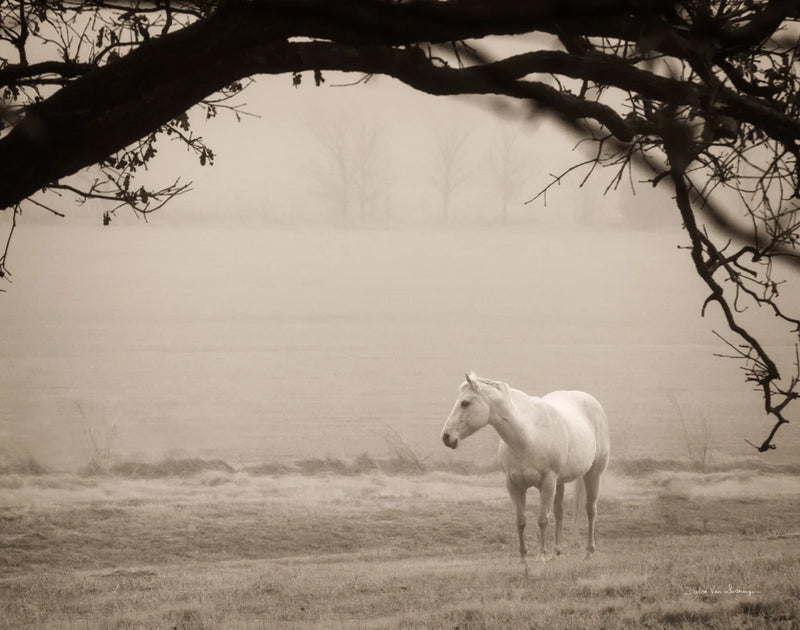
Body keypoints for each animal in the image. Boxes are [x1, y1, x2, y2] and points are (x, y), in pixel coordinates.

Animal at [440, 372, 610, 568]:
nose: (446, 437)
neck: (527, 436)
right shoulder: (514, 485)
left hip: (593, 474)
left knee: (590, 510)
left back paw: (589, 552)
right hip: (559, 483)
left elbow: (542, 519)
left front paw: (541, 555)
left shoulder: (547, 482)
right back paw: (556, 554)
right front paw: (522, 558)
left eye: (465, 403)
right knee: (559, 513)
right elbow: (520, 521)